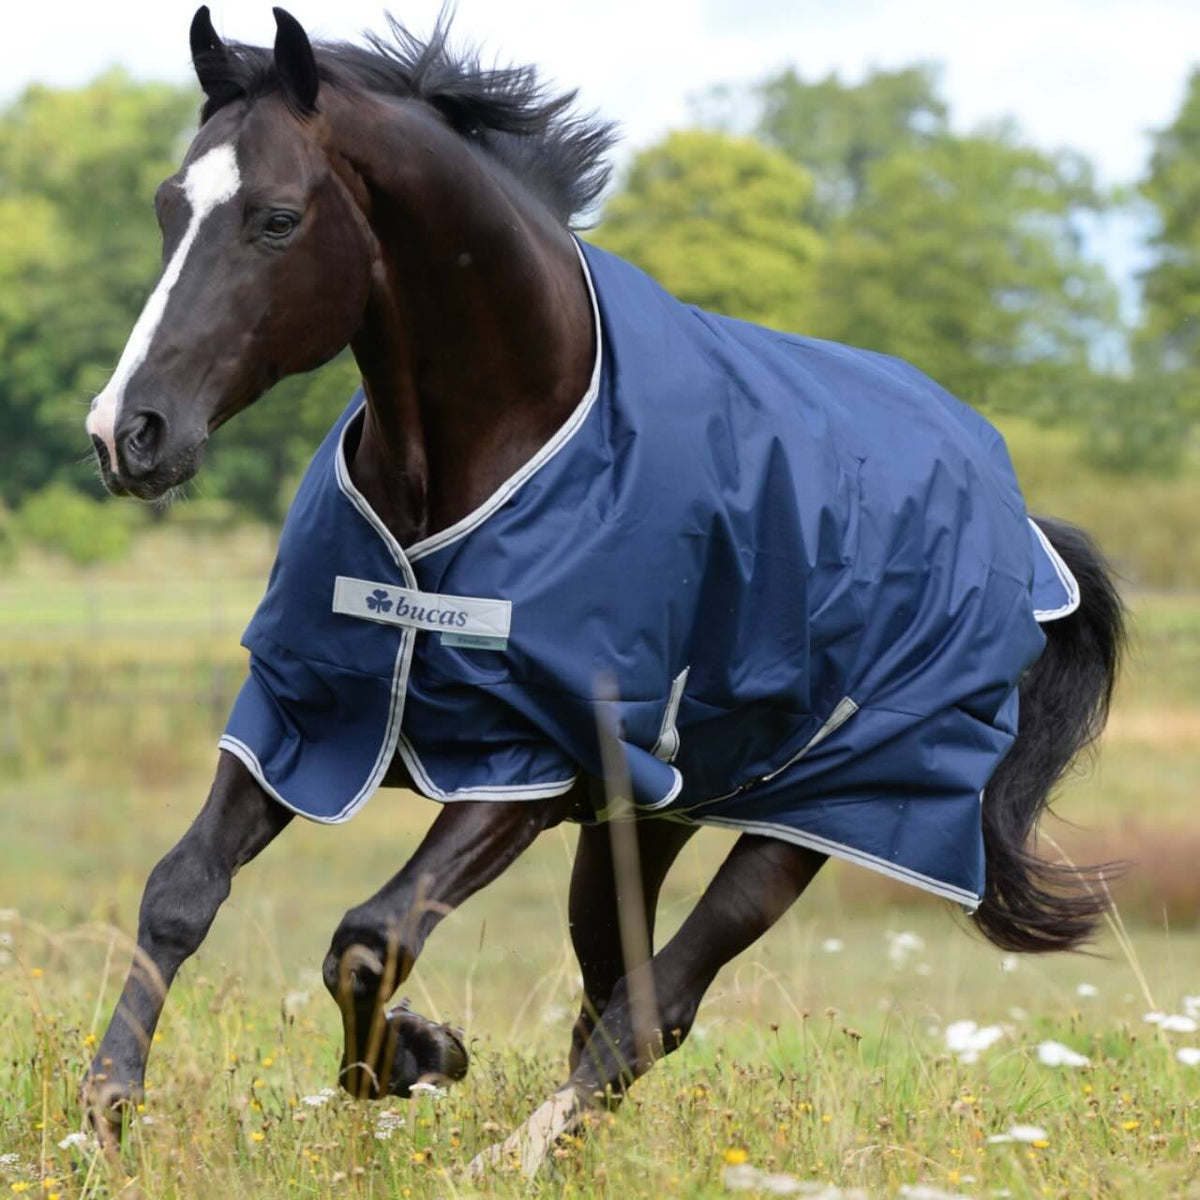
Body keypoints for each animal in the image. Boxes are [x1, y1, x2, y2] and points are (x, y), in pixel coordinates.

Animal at [81, 6, 1125, 1174]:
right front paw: (106, 1112)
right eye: (169, 205)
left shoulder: (530, 762)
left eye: (275, 219)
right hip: (651, 817)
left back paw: (510, 1159)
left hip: (822, 816)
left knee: (654, 1005)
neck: (498, 445)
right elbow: (181, 889)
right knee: (613, 991)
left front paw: (419, 1054)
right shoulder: (305, 709)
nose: (128, 432)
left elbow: (369, 938)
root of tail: (1020, 528)